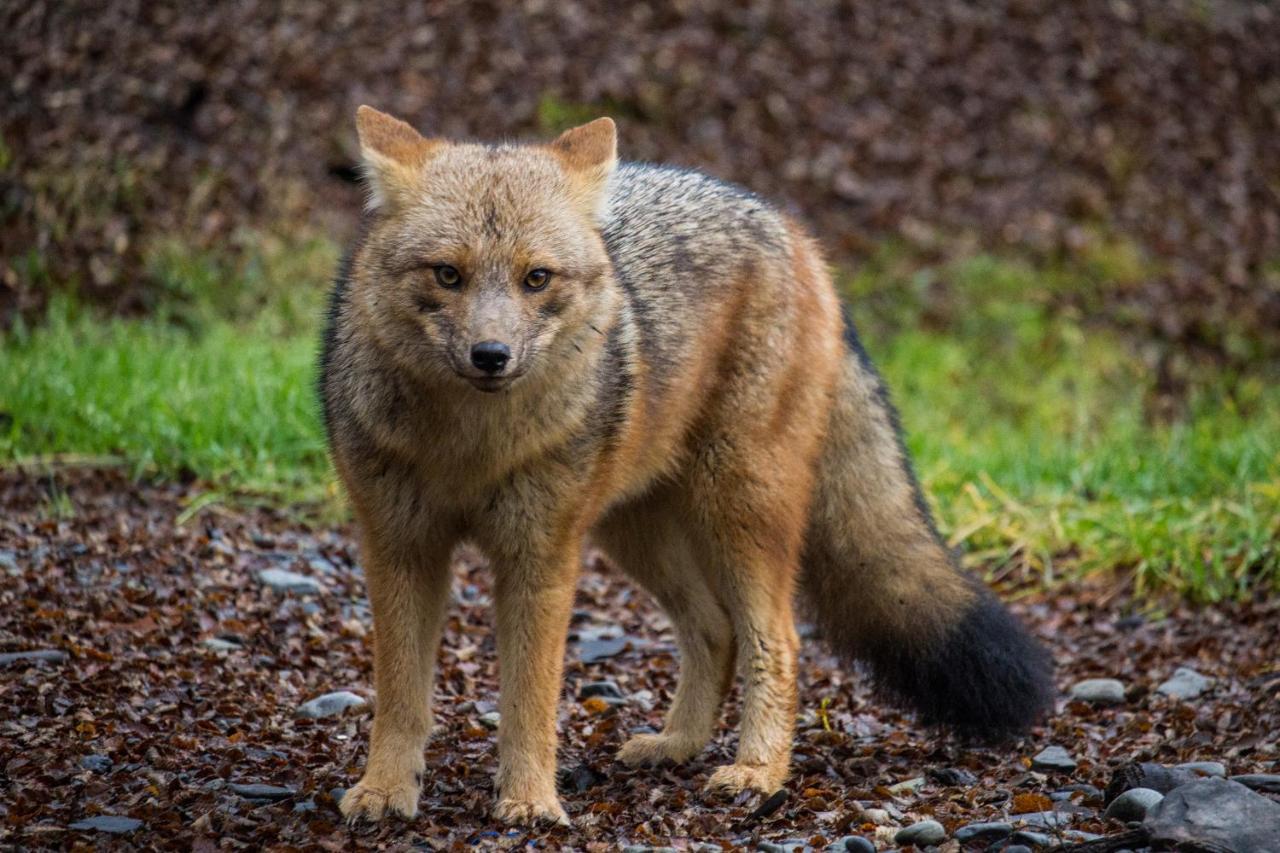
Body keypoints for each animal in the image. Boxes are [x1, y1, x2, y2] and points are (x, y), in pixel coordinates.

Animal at [320, 106, 1049, 824]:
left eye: (536, 278)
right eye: (448, 274)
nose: (491, 355)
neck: (469, 449)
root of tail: (787, 226)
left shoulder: (539, 557)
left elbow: (528, 699)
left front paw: (529, 800)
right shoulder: (399, 547)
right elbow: (400, 697)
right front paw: (385, 789)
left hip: (737, 515)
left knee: (778, 640)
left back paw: (758, 772)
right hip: (634, 531)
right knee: (714, 631)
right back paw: (677, 744)